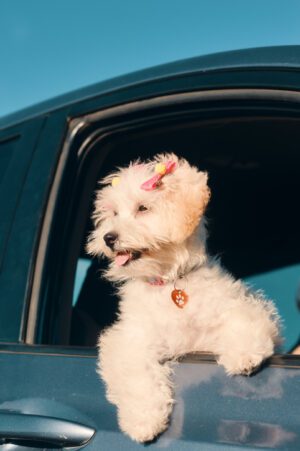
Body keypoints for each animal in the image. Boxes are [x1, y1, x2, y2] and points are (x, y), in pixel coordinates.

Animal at [87, 154, 282, 444]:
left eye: (143, 208)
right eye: (112, 213)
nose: (108, 237)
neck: (169, 282)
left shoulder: (236, 305)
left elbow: (242, 320)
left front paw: (244, 354)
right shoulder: (129, 340)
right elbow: (137, 375)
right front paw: (144, 420)